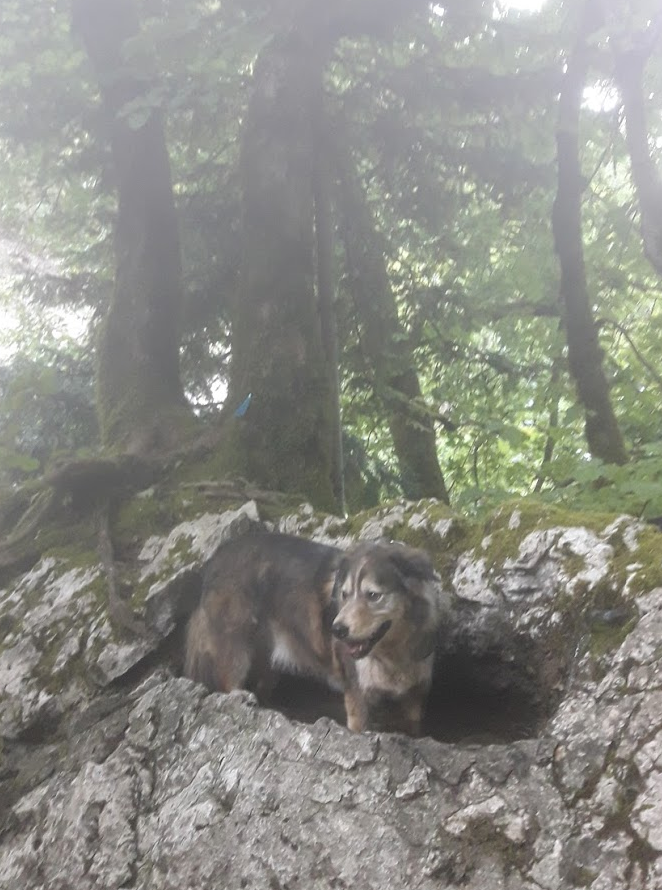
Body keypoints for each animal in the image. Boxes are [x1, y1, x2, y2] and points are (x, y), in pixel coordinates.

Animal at [185, 532, 446, 732]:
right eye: (344, 594)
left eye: (373, 595)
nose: (337, 630)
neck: (393, 655)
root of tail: (216, 557)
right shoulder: (358, 698)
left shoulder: (415, 700)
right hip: (236, 650)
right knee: (230, 683)